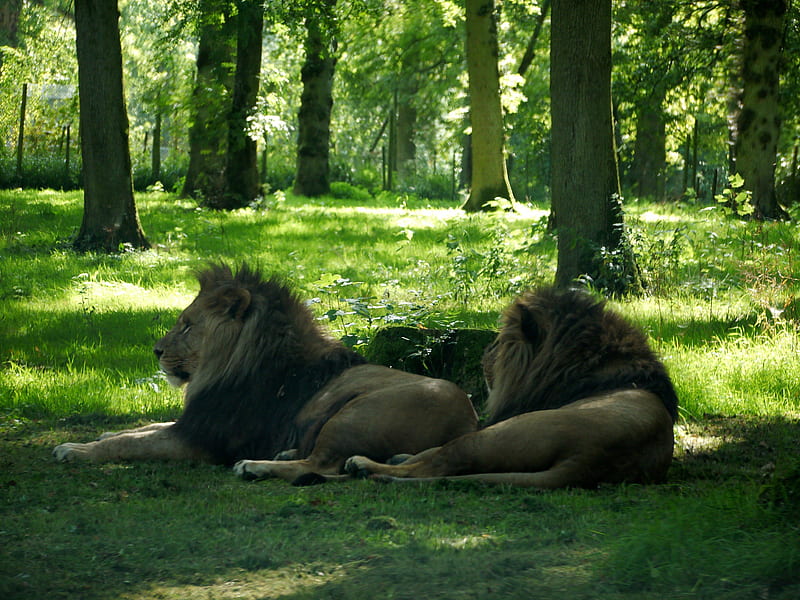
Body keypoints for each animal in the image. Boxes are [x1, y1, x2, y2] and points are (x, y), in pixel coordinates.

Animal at [57, 262, 482, 482]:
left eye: (188, 326)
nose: (156, 351)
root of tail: (468, 421)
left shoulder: (202, 439)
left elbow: (131, 443)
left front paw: (75, 449)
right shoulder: (194, 420)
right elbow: (142, 428)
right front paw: (104, 433)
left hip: (354, 413)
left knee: (323, 464)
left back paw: (255, 466)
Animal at [346, 288, 680, 490]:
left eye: (501, 341)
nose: (485, 352)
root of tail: (588, 460)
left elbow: (434, 451)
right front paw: (400, 455)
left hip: (499, 433)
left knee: (442, 461)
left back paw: (364, 465)